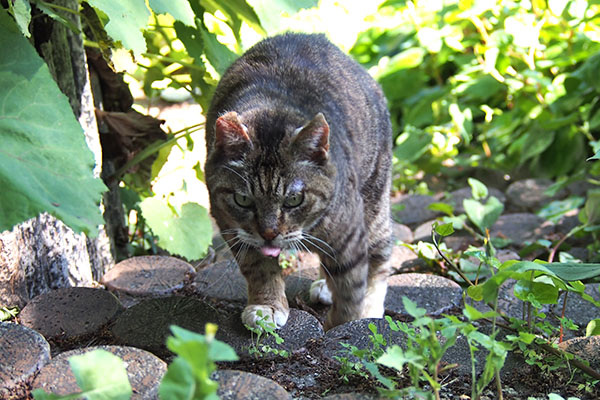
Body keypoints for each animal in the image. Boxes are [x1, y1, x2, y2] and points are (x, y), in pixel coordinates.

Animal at [205, 32, 394, 332]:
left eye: (294, 199)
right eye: (243, 199)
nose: (269, 233)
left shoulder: (349, 235)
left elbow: (351, 288)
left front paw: (342, 326)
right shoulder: (233, 227)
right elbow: (259, 268)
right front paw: (267, 305)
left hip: (374, 204)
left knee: (379, 258)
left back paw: (370, 308)